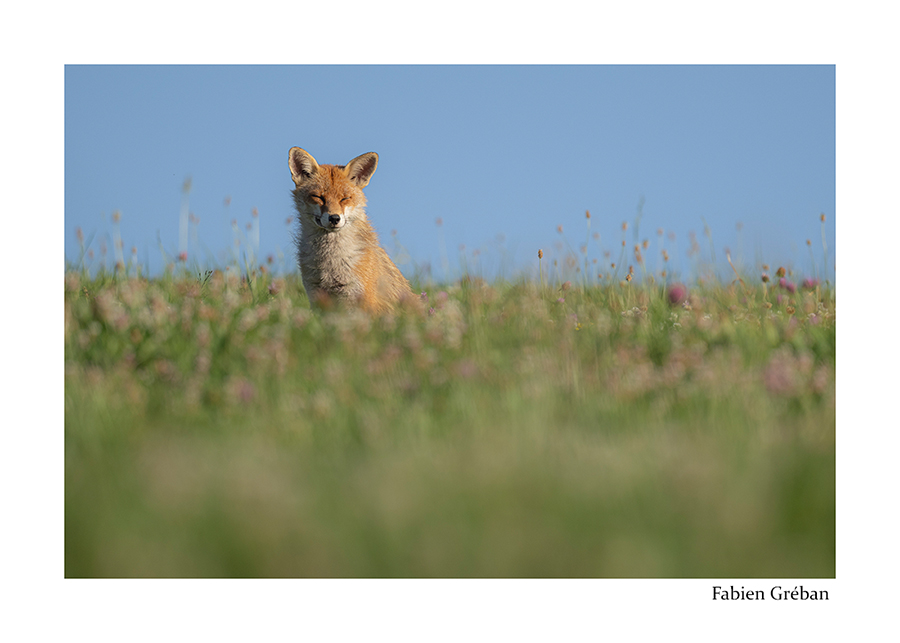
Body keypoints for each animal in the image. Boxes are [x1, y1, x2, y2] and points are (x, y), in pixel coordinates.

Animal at [288, 147, 414, 314]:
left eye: (345, 198)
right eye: (318, 197)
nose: (334, 218)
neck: (331, 264)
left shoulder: (360, 299)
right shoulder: (317, 297)